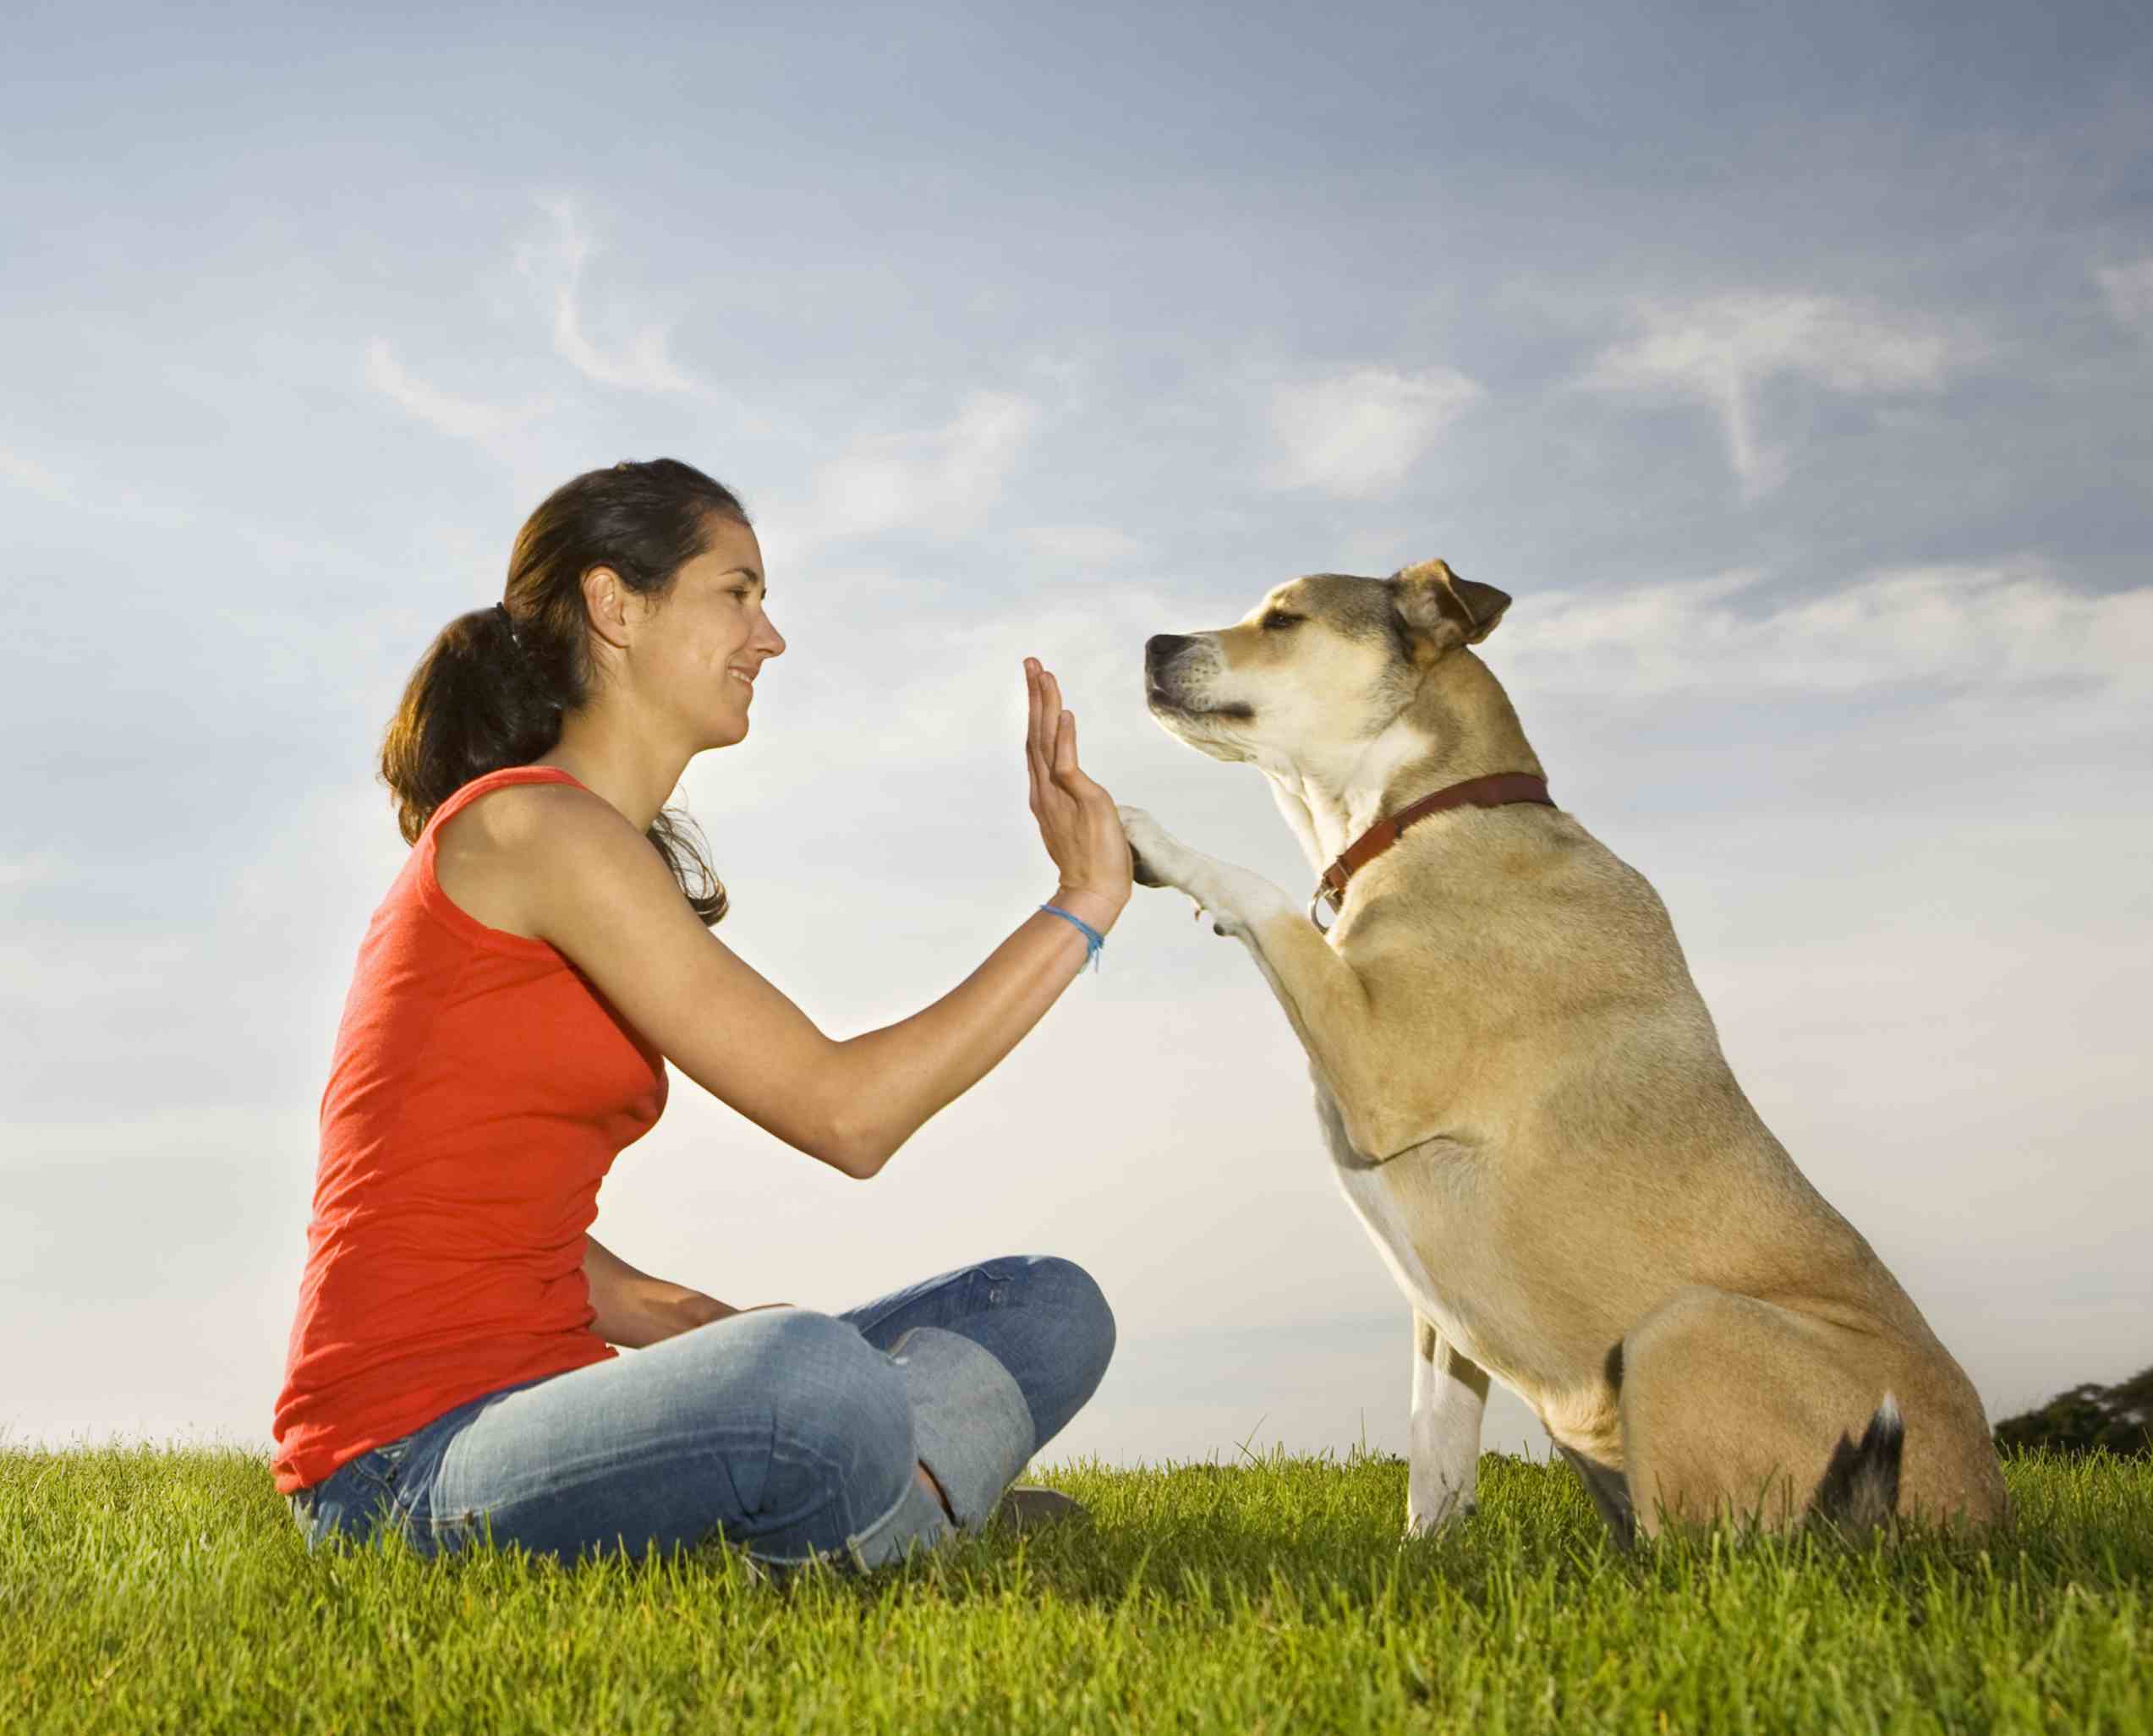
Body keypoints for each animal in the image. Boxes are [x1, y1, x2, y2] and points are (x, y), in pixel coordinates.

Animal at [1119, 564, 2006, 1542]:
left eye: (1284, 618)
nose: (1152, 644)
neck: (1431, 812)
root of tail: (1977, 1523)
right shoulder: (1441, 1319)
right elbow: (1435, 1450)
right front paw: (1425, 1555)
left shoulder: (1379, 1067)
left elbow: (1261, 895)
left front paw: (1145, 834)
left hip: (1681, 1328)